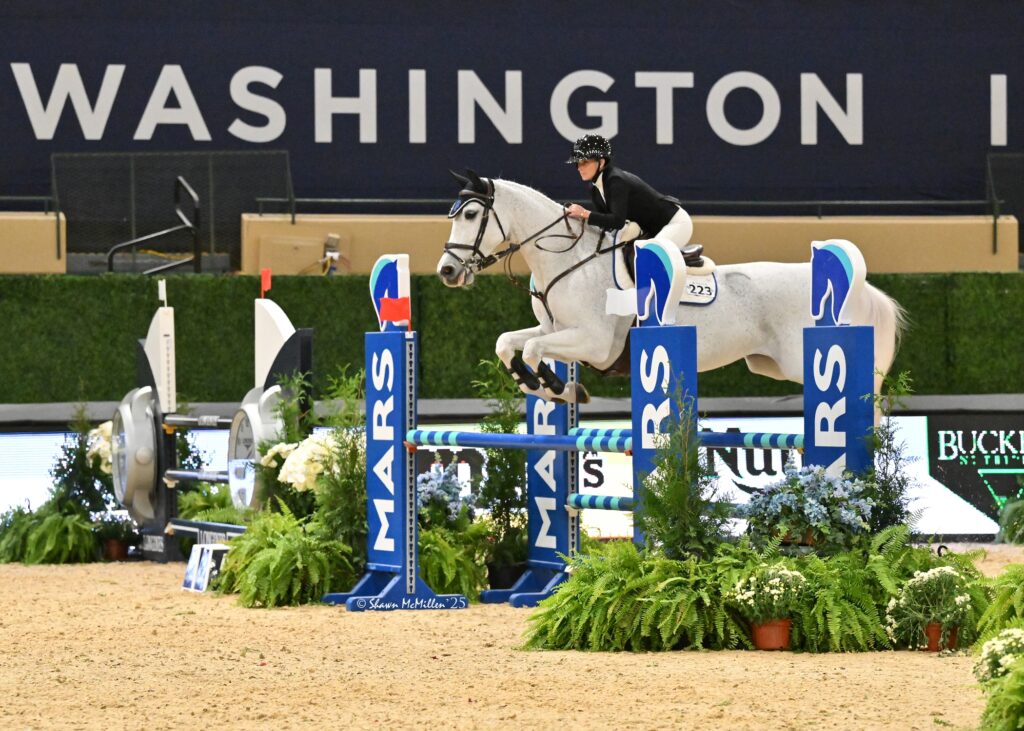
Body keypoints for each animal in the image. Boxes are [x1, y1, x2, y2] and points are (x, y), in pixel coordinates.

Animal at [437, 170, 907, 405]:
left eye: (472, 215)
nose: (446, 271)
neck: (569, 260)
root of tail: (862, 290)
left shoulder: (593, 343)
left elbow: (534, 350)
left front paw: (554, 386)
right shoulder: (557, 331)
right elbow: (508, 343)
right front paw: (542, 386)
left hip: (803, 360)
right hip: (775, 365)